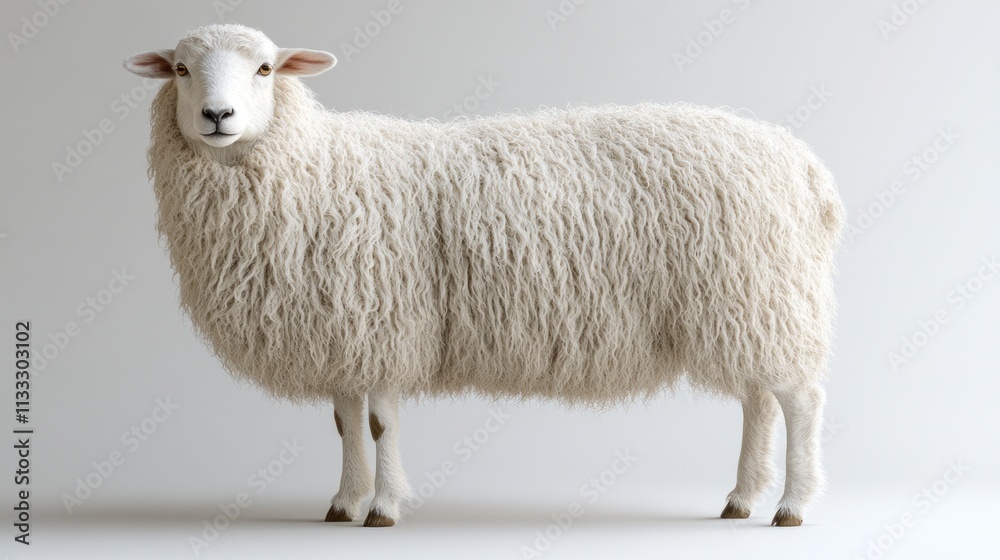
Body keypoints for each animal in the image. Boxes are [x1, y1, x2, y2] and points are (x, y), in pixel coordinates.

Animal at [124, 23, 845, 528]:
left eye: (265, 68)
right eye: (182, 68)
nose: (218, 116)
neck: (315, 167)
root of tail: (802, 162)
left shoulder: (389, 320)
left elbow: (379, 423)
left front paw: (382, 508)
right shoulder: (348, 328)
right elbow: (345, 421)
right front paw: (343, 503)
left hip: (764, 293)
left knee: (800, 400)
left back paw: (791, 507)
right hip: (745, 307)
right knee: (758, 401)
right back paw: (741, 498)